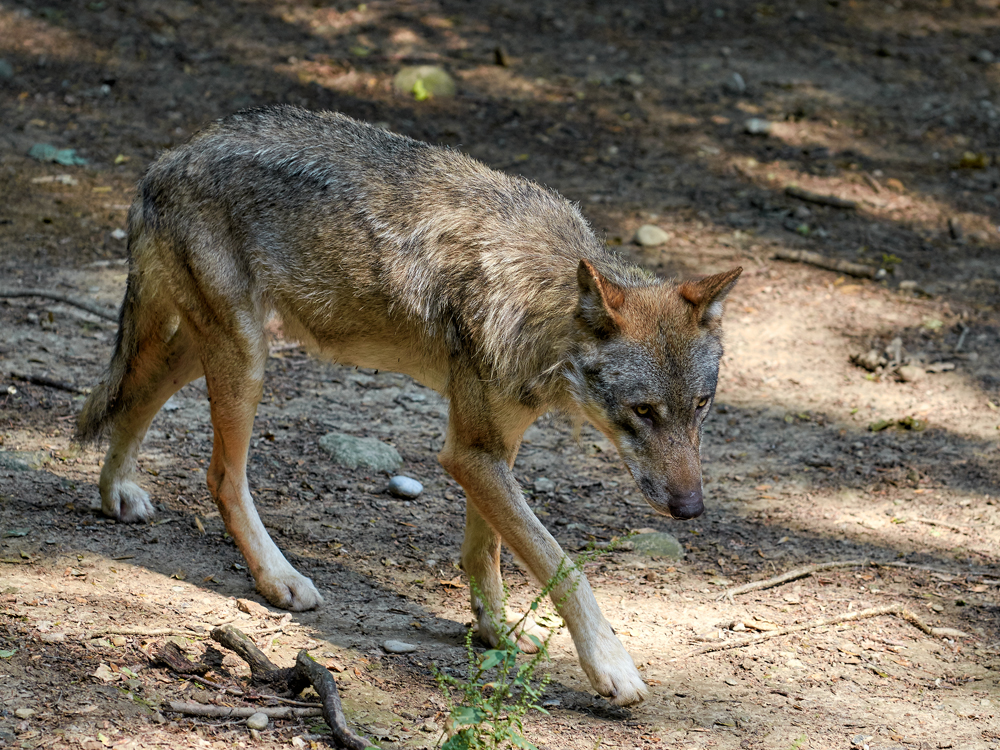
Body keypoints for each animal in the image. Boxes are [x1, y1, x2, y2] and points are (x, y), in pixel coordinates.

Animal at [78, 104, 740, 704]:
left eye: (701, 406)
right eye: (644, 411)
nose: (691, 509)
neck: (541, 305)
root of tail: (169, 159)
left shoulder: (488, 450)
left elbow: (487, 552)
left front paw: (497, 633)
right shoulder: (467, 455)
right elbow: (560, 563)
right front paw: (611, 666)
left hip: (216, 347)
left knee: (134, 393)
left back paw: (117, 492)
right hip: (246, 358)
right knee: (221, 474)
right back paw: (279, 578)